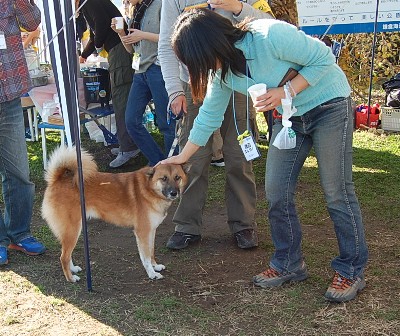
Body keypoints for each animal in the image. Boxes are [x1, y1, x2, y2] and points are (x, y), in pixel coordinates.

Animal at [42, 146, 189, 282]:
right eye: (163, 178)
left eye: (177, 177)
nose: (174, 193)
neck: (149, 189)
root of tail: (57, 179)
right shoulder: (142, 232)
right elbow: (146, 256)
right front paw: (152, 273)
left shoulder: (151, 230)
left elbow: (151, 251)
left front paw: (155, 266)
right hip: (72, 230)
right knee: (63, 256)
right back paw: (71, 278)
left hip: (73, 230)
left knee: (67, 254)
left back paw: (73, 269)